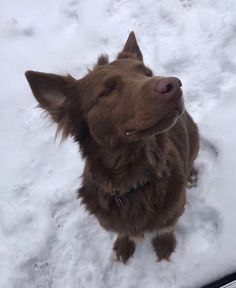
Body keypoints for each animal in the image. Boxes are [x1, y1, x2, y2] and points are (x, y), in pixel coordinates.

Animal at [25, 31, 199, 264]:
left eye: (147, 73)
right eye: (107, 90)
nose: (174, 85)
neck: (134, 182)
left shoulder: (174, 209)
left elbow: (166, 226)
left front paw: (164, 244)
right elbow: (123, 231)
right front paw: (124, 244)